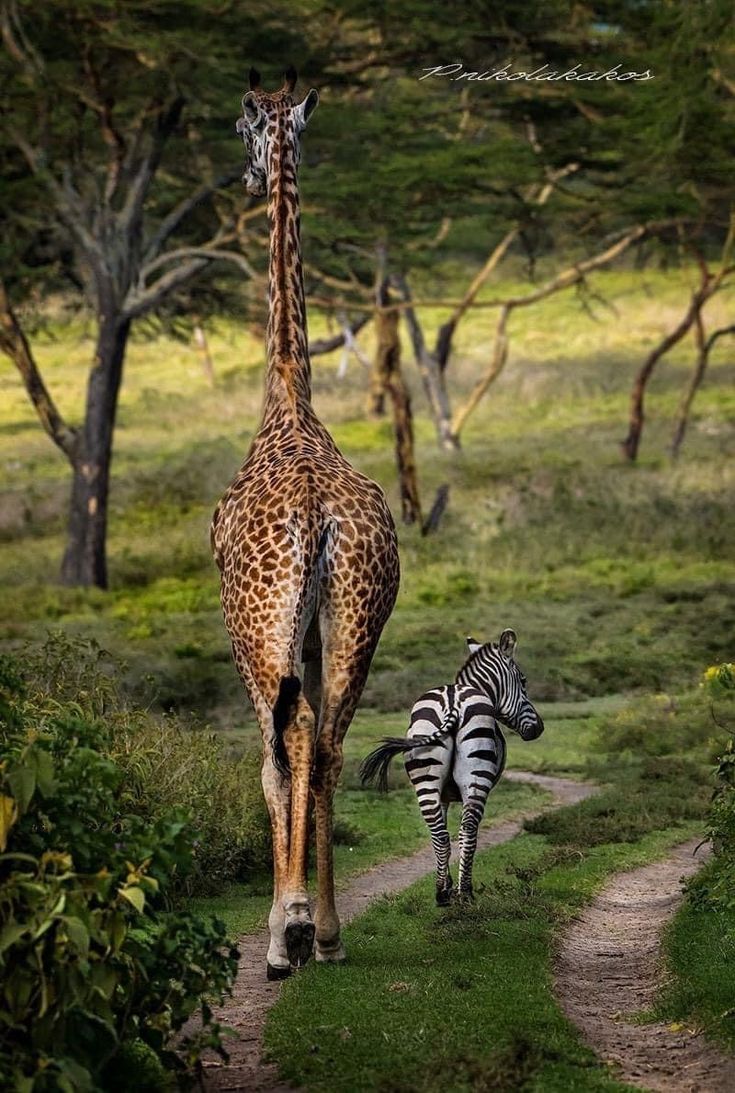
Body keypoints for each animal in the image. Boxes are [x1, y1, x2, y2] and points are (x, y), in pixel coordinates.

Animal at [358, 633, 542, 905]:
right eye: (524, 680)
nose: (539, 728)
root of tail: (453, 702)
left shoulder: (443, 795)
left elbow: (443, 826)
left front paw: (445, 882)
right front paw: (455, 885)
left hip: (426, 775)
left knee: (440, 835)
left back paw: (441, 893)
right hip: (476, 779)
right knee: (468, 832)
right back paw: (465, 892)